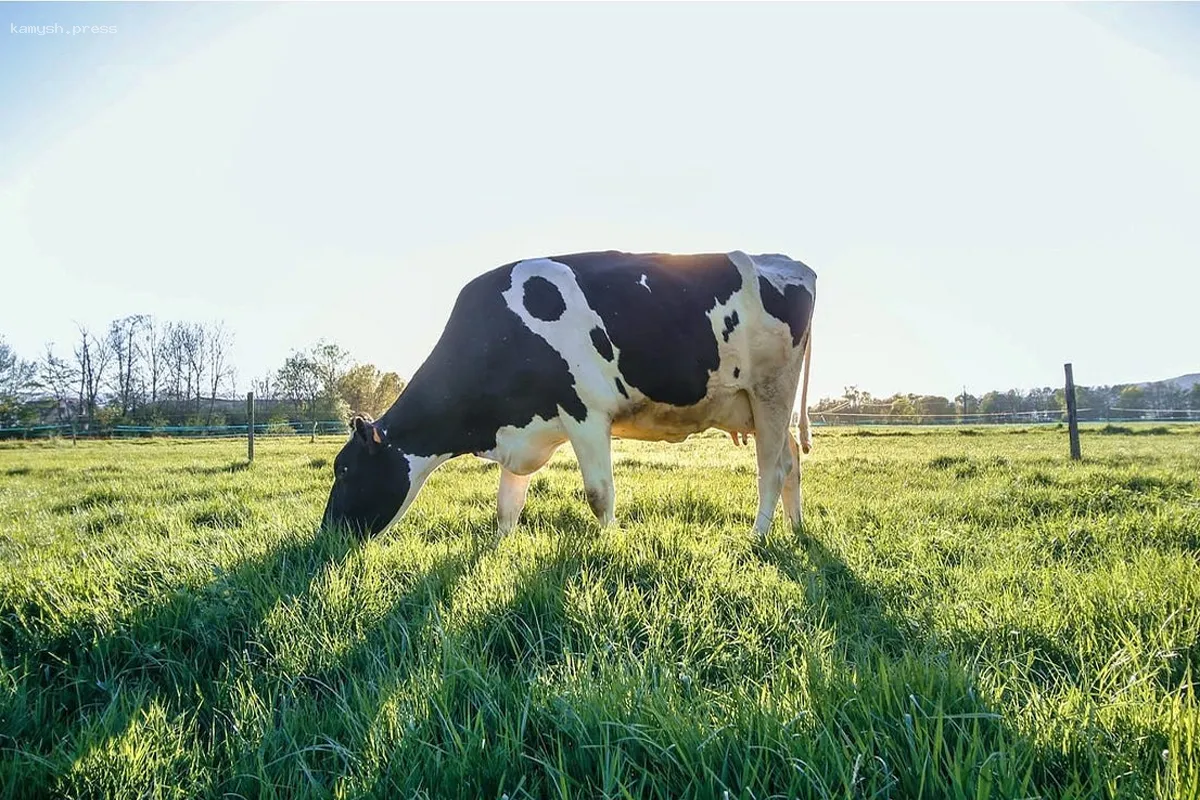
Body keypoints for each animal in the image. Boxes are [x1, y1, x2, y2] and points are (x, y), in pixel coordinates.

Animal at [319, 248, 816, 537]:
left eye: (343, 469)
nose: (327, 534)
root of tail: (791, 263)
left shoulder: (586, 413)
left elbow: (599, 493)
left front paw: (609, 544)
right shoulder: (520, 427)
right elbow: (507, 505)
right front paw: (500, 549)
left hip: (771, 391)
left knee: (771, 469)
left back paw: (759, 536)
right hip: (755, 405)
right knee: (791, 459)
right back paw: (796, 529)